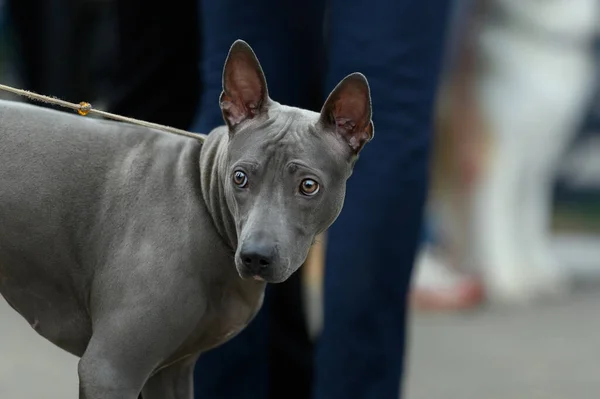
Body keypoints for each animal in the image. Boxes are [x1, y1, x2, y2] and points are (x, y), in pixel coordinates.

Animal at [0, 39, 372, 398]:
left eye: (309, 186)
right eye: (239, 177)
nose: (255, 257)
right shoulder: (110, 371)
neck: (206, 204)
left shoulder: (170, 373)